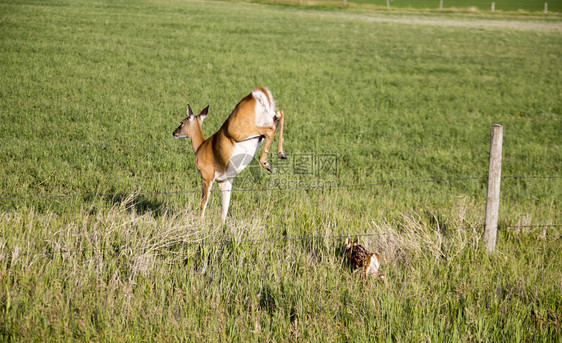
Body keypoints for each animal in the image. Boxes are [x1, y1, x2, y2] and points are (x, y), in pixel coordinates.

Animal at [172, 87, 286, 224]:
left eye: (182, 122)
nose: (174, 132)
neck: (201, 146)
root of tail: (255, 93)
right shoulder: (225, 182)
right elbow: (224, 210)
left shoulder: (207, 177)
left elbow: (203, 202)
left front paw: (200, 223)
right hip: (268, 119)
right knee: (280, 115)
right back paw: (281, 154)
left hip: (241, 131)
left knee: (270, 130)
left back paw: (267, 164)